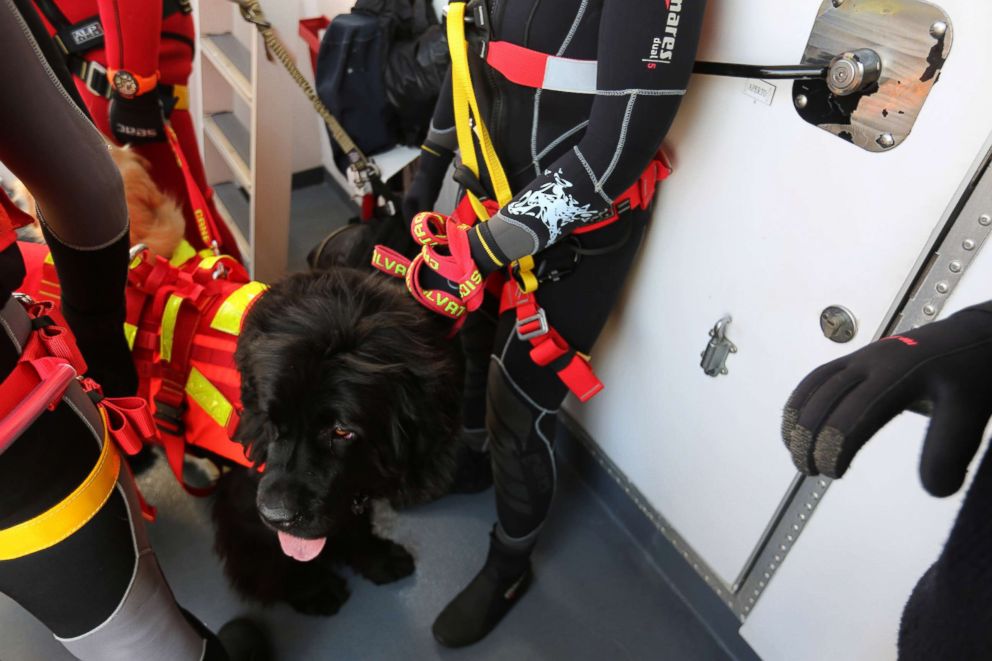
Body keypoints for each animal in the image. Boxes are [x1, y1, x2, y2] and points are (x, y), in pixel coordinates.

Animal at [213, 266, 462, 616]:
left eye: (342, 431)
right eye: (270, 421)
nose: (277, 516)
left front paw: (378, 559)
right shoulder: (244, 500)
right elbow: (275, 549)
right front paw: (311, 589)